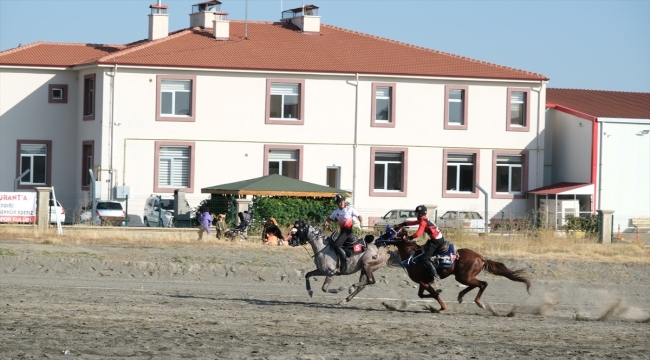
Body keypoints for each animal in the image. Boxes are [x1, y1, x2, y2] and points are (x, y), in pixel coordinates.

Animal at [374, 228, 532, 312]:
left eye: (389, 233)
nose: (377, 240)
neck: (413, 256)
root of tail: (481, 257)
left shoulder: (424, 282)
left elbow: (433, 295)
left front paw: (442, 307)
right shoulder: (423, 282)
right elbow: (422, 295)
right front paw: (436, 298)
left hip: (464, 277)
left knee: (483, 284)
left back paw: (478, 302)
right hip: (463, 277)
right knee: (476, 284)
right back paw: (461, 296)